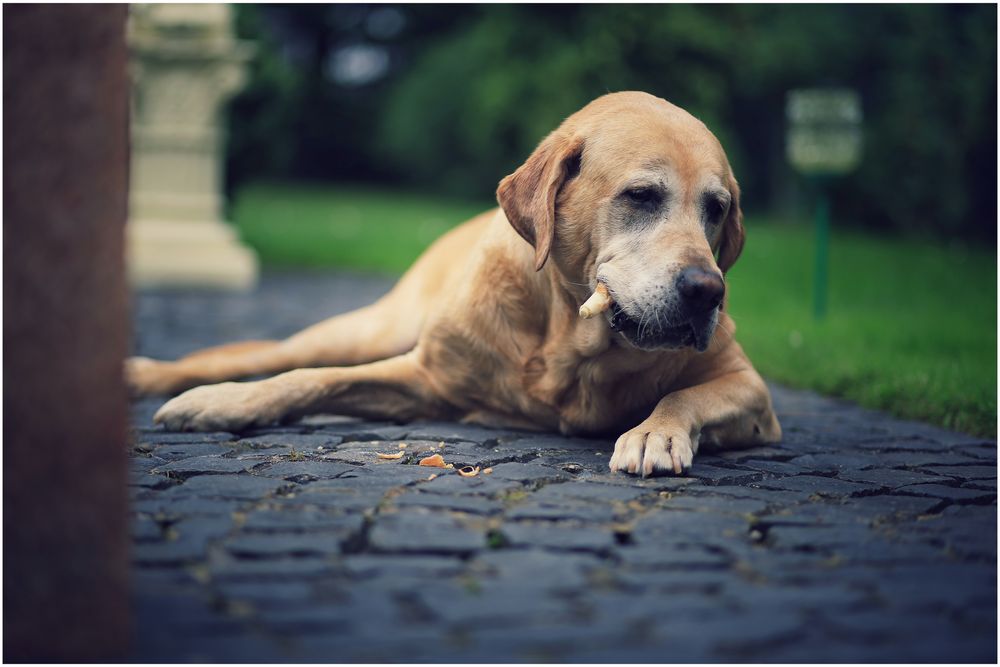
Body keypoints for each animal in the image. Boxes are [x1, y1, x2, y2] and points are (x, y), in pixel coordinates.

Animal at [127, 91, 780, 478]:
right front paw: (221, 403)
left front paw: (652, 432)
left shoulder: (752, 392)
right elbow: (309, 380)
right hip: (369, 331)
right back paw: (155, 375)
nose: (708, 292)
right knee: (270, 356)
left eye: (717, 210)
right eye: (642, 196)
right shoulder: (426, 375)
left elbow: (684, 395)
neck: (566, 340)